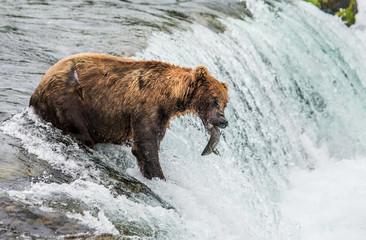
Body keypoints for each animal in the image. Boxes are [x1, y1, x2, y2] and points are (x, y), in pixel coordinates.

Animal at [29, 53, 229, 180]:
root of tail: (37, 89)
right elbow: (145, 147)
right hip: (68, 102)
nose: (223, 121)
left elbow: (154, 139)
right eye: (214, 100)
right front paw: (159, 177)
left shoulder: (162, 116)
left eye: (225, 102)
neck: (170, 96)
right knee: (81, 133)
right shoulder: (146, 106)